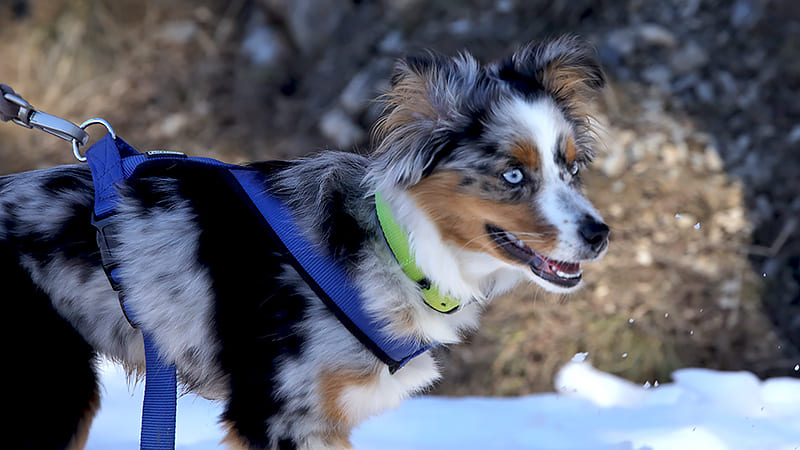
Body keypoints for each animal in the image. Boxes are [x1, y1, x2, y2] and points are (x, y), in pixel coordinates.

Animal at [3, 36, 608, 450]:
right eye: (513, 175)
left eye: (572, 168)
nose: (601, 235)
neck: (393, 246)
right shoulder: (282, 418)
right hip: (54, 393)